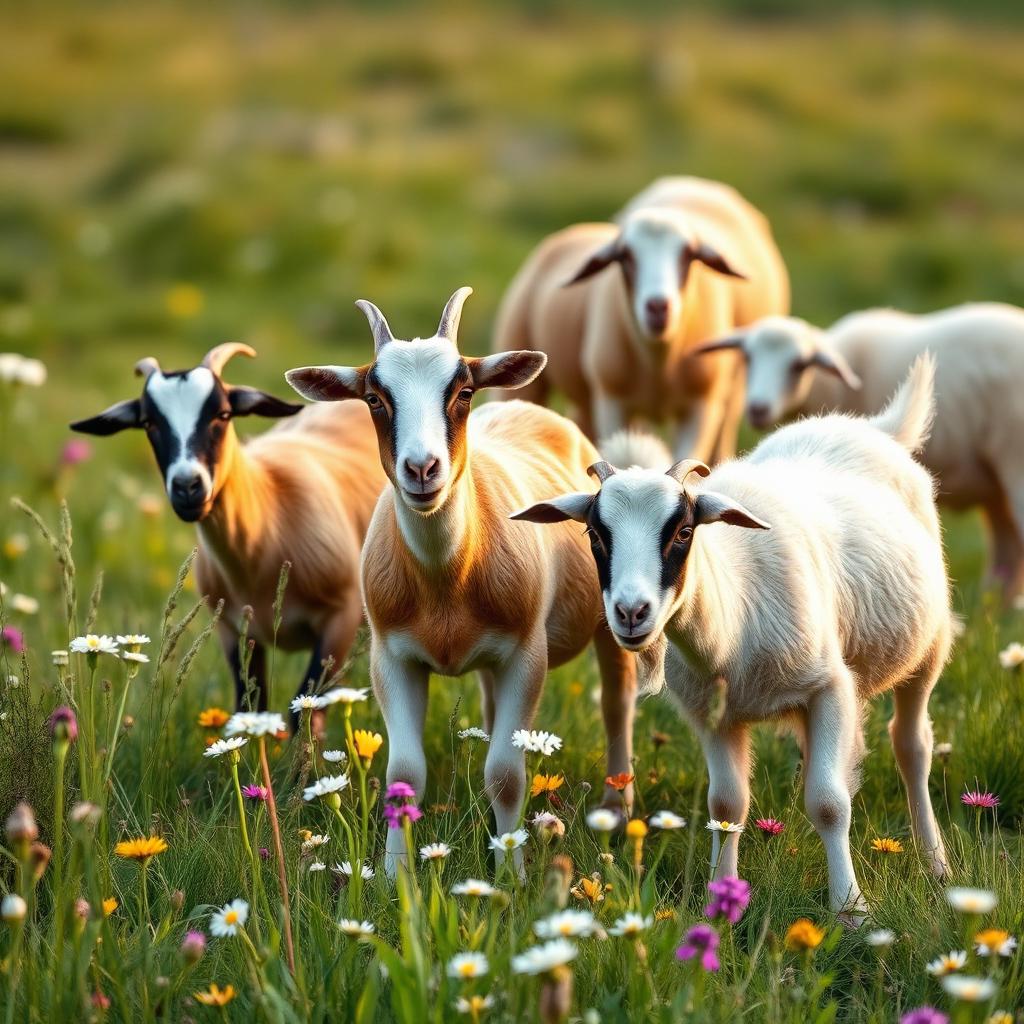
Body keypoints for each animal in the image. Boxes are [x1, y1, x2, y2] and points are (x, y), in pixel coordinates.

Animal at [70, 343, 387, 712]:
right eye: (148, 422)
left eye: (222, 414)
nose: (187, 487)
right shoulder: (233, 631)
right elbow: (252, 705)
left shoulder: (339, 620)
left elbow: (304, 707)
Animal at [285, 287, 638, 873]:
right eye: (374, 399)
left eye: (463, 391)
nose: (422, 469)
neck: (446, 583)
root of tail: (525, 406)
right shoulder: (392, 658)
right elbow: (403, 773)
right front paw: (394, 875)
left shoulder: (526, 656)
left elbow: (507, 775)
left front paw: (513, 874)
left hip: (611, 625)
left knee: (617, 704)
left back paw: (617, 806)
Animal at [491, 176, 790, 461]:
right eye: (625, 255)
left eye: (689, 254)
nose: (658, 306)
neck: (659, 360)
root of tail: (690, 183)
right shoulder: (612, 402)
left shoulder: (700, 407)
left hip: (732, 392)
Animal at [514, 356, 951, 919]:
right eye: (594, 533)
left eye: (682, 531)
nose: (631, 612)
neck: (733, 619)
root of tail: (873, 427)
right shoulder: (713, 715)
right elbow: (726, 806)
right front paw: (719, 902)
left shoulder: (831, 688)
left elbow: (829, 803)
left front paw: (850, 909)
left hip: (929, 648)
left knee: (912, 746)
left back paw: (935, 864)